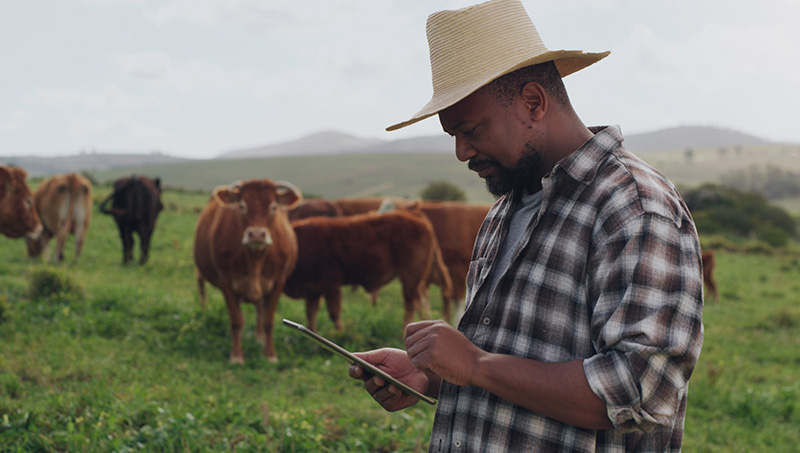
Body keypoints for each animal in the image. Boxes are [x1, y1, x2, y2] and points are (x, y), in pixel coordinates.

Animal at [195, 178, 304, 362]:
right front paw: (236, 356)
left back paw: (259, 337)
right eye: (242, 206)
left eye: (273, 207)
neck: (255, 259)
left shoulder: (278, 282)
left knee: (260, 309)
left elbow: (268, 321)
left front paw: (270, 355)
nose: (257, 234)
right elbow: (236, 320)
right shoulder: (226, 281)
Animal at [282, 209, 444, 332]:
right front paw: (313, 331)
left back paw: (404, 328)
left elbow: (334, 312)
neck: (298, 244)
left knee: (411, 303)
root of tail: (415, 215)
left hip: (410, 277)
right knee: (422, 301)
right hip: (417, 281)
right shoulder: (313, 291)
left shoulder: (330, 284)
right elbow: (311, 314)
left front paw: (339, 333)